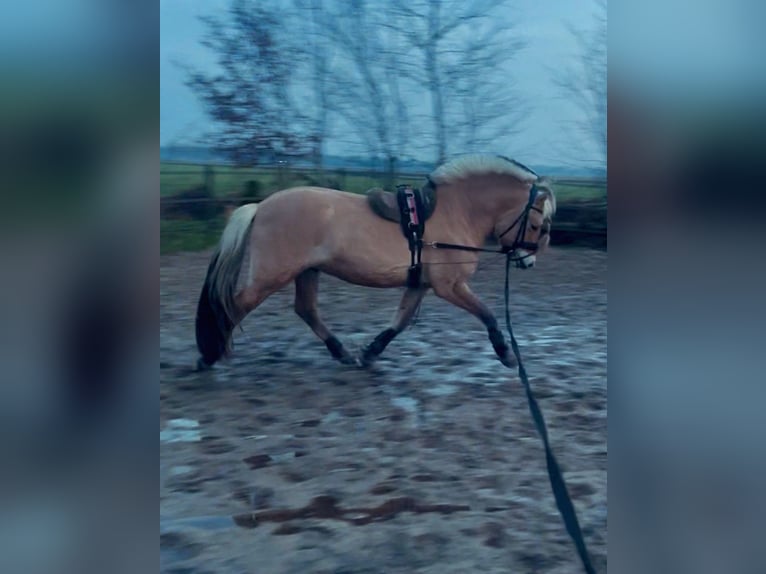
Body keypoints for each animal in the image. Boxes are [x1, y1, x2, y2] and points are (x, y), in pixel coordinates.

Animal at [195, 154, 556, 371]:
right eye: (537, 224)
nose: (527, 261)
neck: (456, 213)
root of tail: (260, 207)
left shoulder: (421, 284)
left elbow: (400, 321)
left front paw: (370, 353)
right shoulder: (449, 286)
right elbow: (487, 313)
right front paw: (506, 354)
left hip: (306, 271)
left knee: (306, 310)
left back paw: (342, 353)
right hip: (272, 275)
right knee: (234, 304)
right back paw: (209, 355)